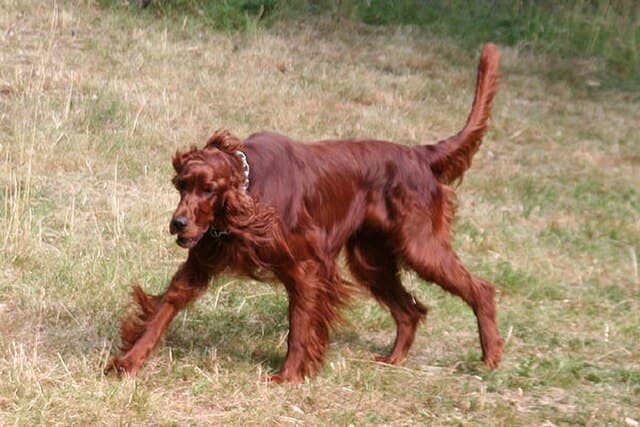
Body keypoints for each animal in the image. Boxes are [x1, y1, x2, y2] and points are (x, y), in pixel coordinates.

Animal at [106, 44, 504, 384]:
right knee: (409, 310)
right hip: (371, 260)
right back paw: (394, 359)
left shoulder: (308, 267)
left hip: (418, 245)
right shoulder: (201, 259)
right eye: (180, 185)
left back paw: (491, 355)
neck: (250, 189)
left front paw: (289, 376)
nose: (178, 224)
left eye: (208, 190)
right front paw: (128, 362)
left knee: (480, 289)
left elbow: (299, 325)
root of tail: (419, 155)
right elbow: (163, 309)